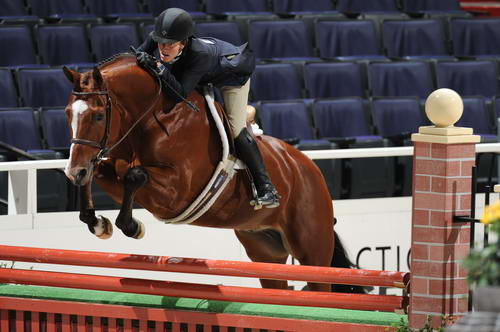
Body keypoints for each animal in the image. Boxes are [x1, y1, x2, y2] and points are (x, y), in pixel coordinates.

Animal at [62, 54, 356, 294]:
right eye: (67, 113)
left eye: (98, 116)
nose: (73, 171)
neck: (152, 117)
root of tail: (309, 168)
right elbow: (102, 171)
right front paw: (97, 222)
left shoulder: (177, 191)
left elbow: (134, 175)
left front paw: (132, 227)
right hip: (265, 250)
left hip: (311, 251)